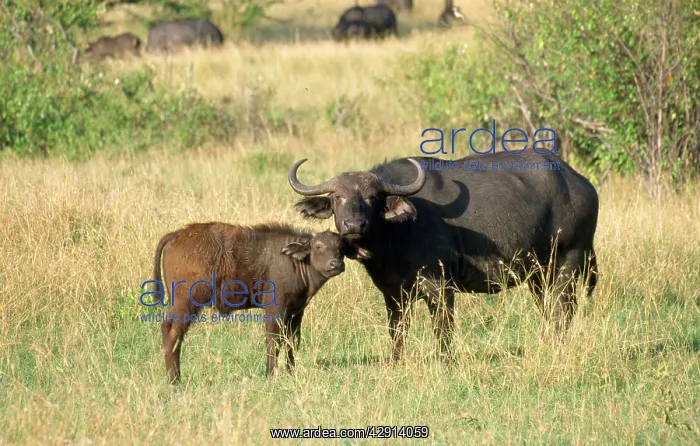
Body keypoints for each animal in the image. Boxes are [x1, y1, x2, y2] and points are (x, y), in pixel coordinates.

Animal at [150, 222, 370, 383]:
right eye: (318, 246)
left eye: (341, 248)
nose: (336, 264)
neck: (295, 262)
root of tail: (178, 234)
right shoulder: (275, 309)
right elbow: (273, 339)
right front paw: (270, 373)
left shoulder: (296, 311)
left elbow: (292, 340)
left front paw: (290, 371)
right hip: (186, 303)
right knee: (172, 331)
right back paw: (174, 380)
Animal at [287, 151, 599, 362]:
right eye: (337, 197)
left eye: (372, 197)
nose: (353, 225)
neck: (395, 234)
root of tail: (582, 184)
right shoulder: (393, 293)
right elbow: (397, 331)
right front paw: (396, 362)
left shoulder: (439, 286)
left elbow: (443, 328)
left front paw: (446, 362)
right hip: (538, 274)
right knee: (548, 310)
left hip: (568, 262)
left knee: (562, 310)